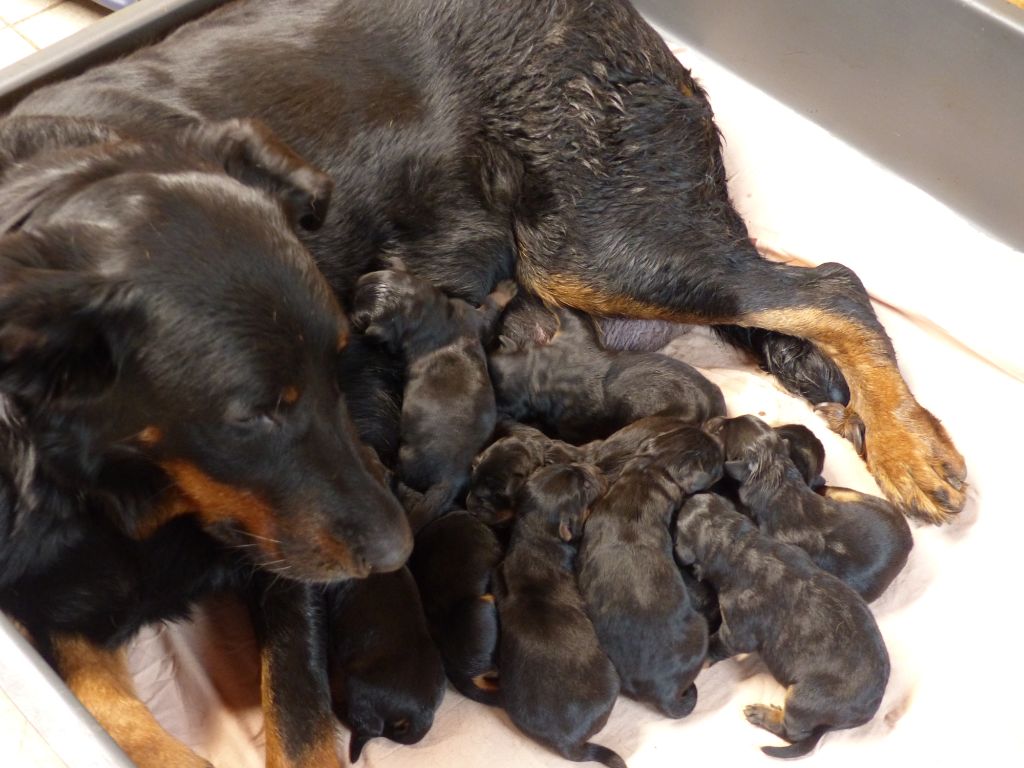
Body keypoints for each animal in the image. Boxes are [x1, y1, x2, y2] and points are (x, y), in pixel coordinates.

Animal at [494, 463, 624, 768]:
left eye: (551, 466)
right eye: (584, 487)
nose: (591, 467)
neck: (535, 537)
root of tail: (568, 746)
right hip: (612, 680)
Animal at [674, 493, 890, 757]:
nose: (687, 497)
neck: (740, 546)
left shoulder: (736, 629)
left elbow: (717, 644)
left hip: (802, 699)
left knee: (790, 731)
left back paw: (761, 714)